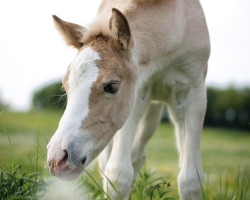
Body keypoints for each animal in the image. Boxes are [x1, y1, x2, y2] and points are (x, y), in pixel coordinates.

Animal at [46, 0, 209, 199]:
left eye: (112, 86)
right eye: (65, 86)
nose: (57, 159)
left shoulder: (194, 92)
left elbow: (191, 180)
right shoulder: (136, 95)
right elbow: (118, 174)